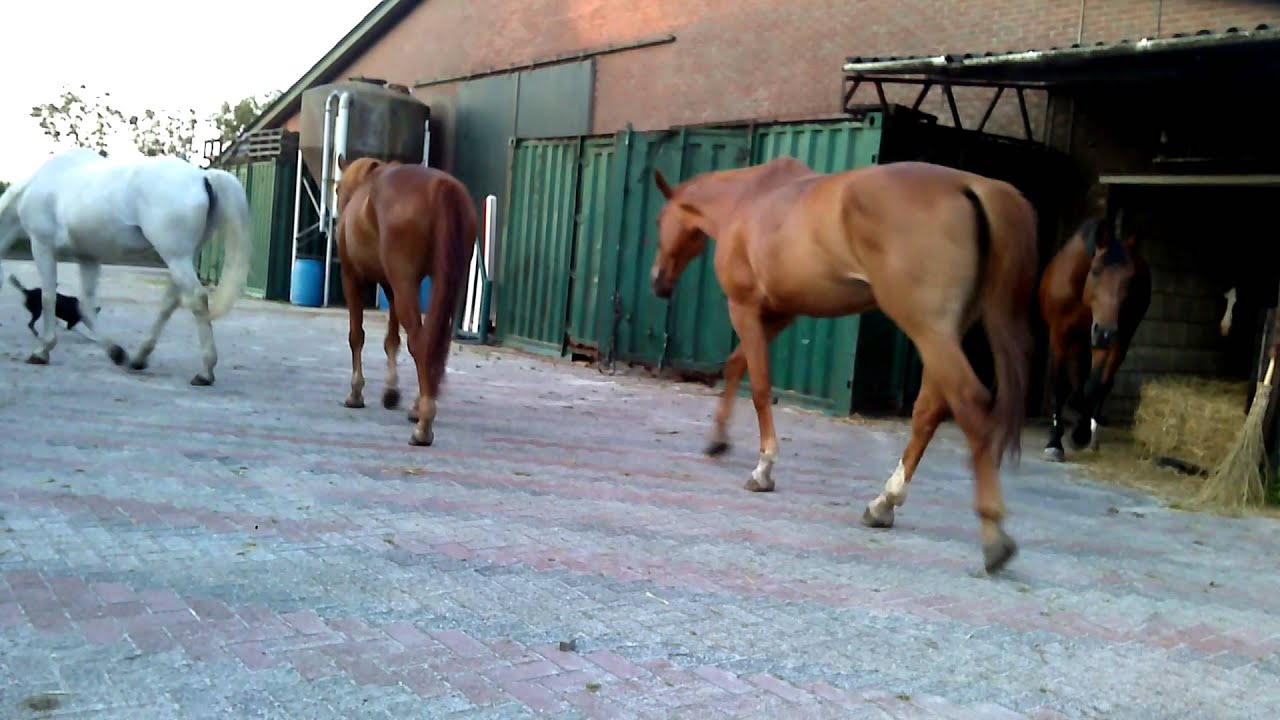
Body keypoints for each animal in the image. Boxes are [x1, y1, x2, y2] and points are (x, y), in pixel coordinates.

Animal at [0, 148, 250, 385]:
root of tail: (202, 176)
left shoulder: (42, 246)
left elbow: (49, 297)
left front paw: (42, 351)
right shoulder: (88, 257)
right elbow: (85, 306)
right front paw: (116, 353)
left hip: (176, 257)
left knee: (197, 299)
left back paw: (205, 372)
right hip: (182, 258)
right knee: (170, 303)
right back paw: (139, 358)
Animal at [332, 155, 477, 447]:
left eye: (337, 189)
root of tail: (441, 187)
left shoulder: (351, 277)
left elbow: (356, 336)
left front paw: (356, 393)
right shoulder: (390, 288)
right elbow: (392, 340)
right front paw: (391, 392)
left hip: (405, 282)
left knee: (420, 342)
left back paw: (423, 426)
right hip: (446, 283)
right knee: (435, 343)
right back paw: (418, 408)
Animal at [649, 157, 1039, 574]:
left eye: (660, 220)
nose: (658, 281)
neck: (747, 198)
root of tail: (972, 185)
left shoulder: (745, 307)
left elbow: (759, 386)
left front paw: (763, 468)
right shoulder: (780, 312)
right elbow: (737, 365)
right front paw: (718, 439)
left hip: (929, 329)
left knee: (968, 401)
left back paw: (994, 537)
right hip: (945, 334)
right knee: (929, 411)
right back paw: (883, 504)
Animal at [1038, 214, 1150, 462]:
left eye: (1130, 279)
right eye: (1096, 270)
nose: (1106, 332)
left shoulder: (1108, 340)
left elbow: (1094, 385)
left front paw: (1080, 434)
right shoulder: (1061, 334)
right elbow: (1061, 384)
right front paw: (1054, 442)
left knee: (1103, 383)